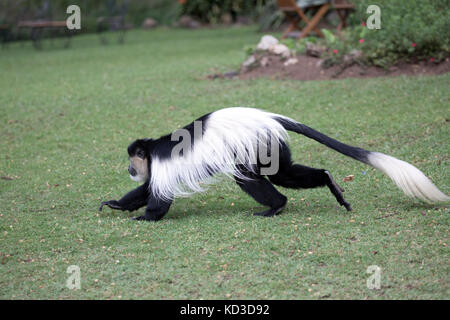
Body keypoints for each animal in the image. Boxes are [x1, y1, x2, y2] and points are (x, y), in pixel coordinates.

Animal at [99, 107, 450, 220]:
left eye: (132, 160)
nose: (130, 169)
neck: (152, 150)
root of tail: (267, 115)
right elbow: (145, 190)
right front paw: (117, 204)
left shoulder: (161, 166)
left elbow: (159, 197)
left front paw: (145, 218)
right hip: (271, 147)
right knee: (283, 174)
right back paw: (328, 182)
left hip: (260, 143)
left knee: (252, 177)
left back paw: (275, 206)